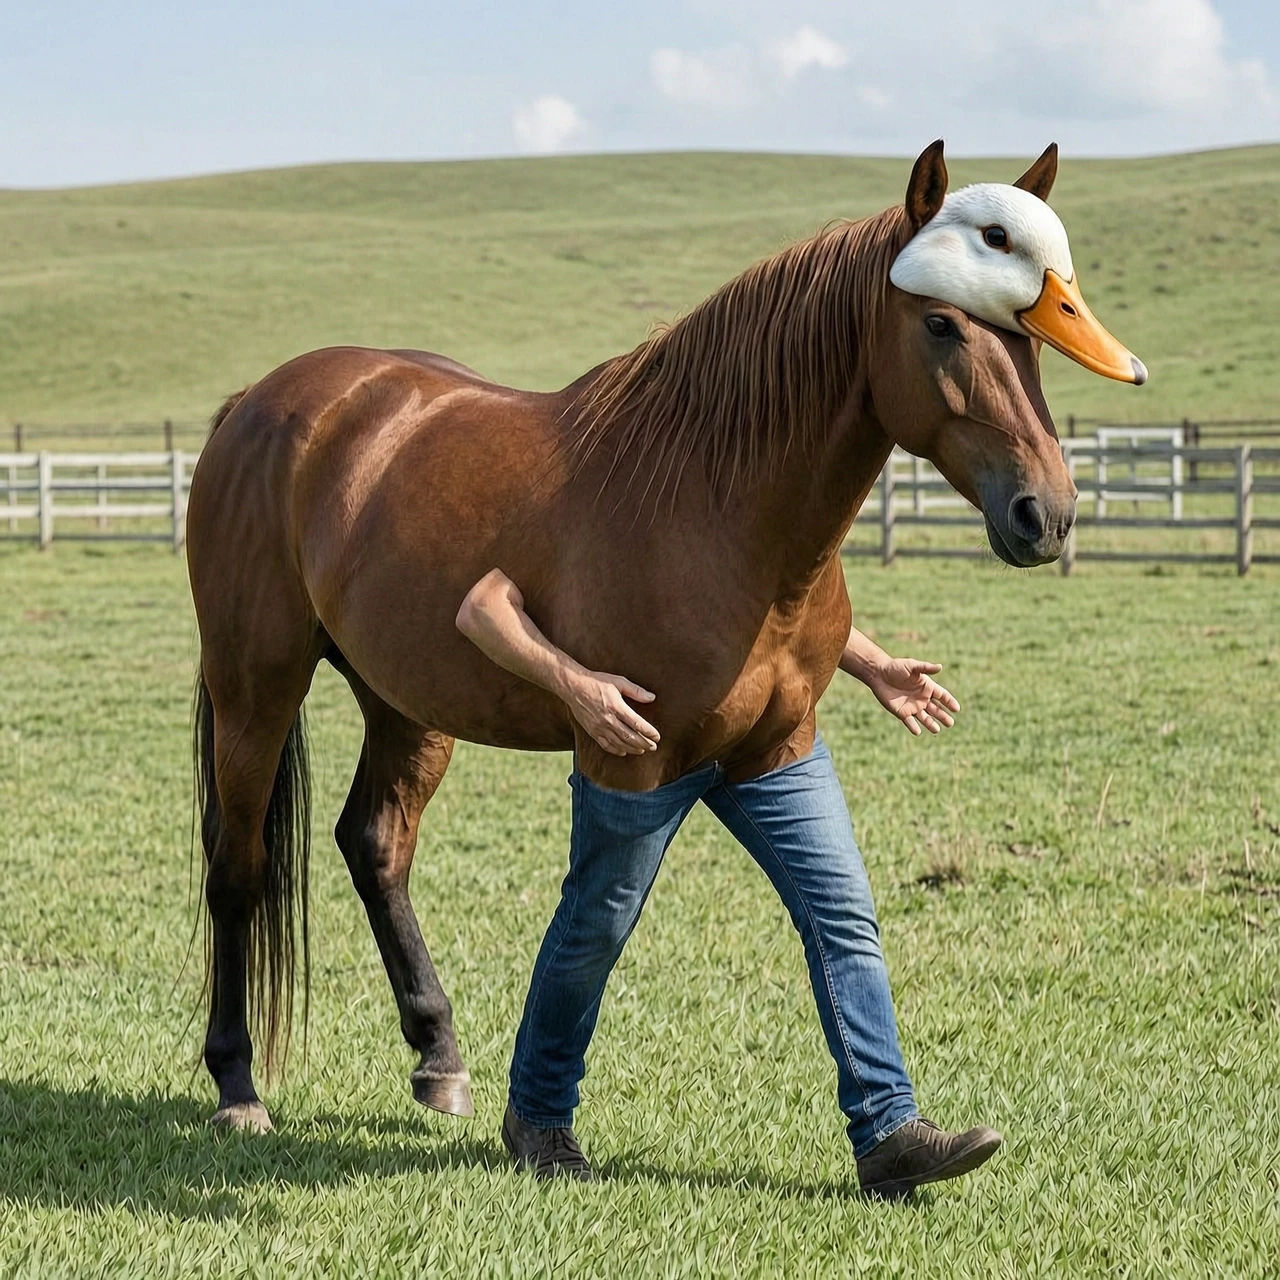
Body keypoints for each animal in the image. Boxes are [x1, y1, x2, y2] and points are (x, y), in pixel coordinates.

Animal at [185, 141, 1136, 1133]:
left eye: (1032, 338)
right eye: (945, 325)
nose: (1047, 514)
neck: (719, 504)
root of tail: (260, 402)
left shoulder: (778, 744)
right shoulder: (627, 757)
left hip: (406, 700)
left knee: (376, 848)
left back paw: (437, 1054)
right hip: (255, 688)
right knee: (237, 867)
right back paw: (236, 1083)